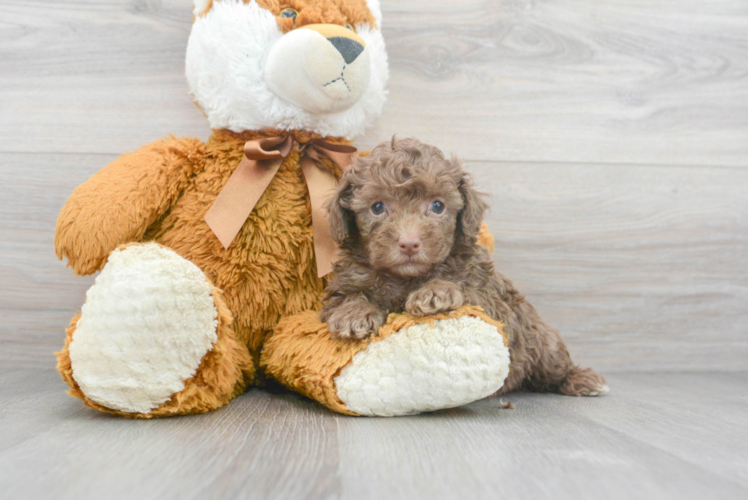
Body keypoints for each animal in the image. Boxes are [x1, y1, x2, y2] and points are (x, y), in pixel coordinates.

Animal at [320, 137, 608, 394]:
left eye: (438, 206)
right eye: (377, 207)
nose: (409, 243)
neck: (406, 278)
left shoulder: (494, 303)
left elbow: (467, 290)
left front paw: (435, 291)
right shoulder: (343, 284)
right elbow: (344, 298)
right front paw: (353, 314)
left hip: (541, 340)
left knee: (553, 364)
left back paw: (582, 379)